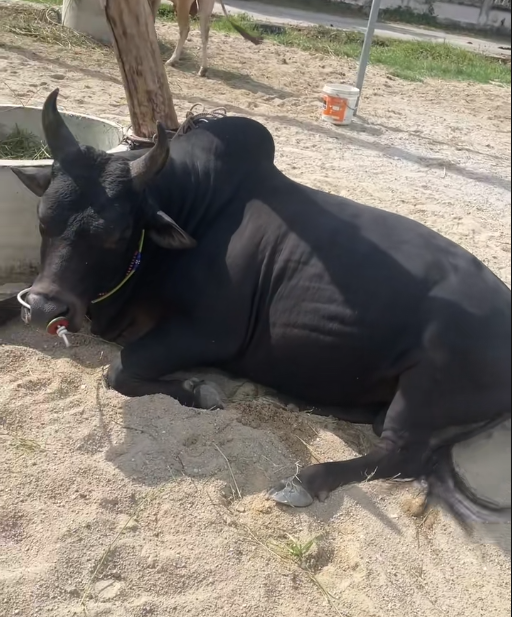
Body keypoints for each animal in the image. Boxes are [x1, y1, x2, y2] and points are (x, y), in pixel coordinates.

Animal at [11, 90, 511, 523]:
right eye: (43, 218)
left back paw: (306, 479)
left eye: (115, 234)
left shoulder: (210, 333)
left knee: (401, 455)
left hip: (422, 391)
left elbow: (118, 370)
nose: (44, 307)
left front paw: (200, 390)